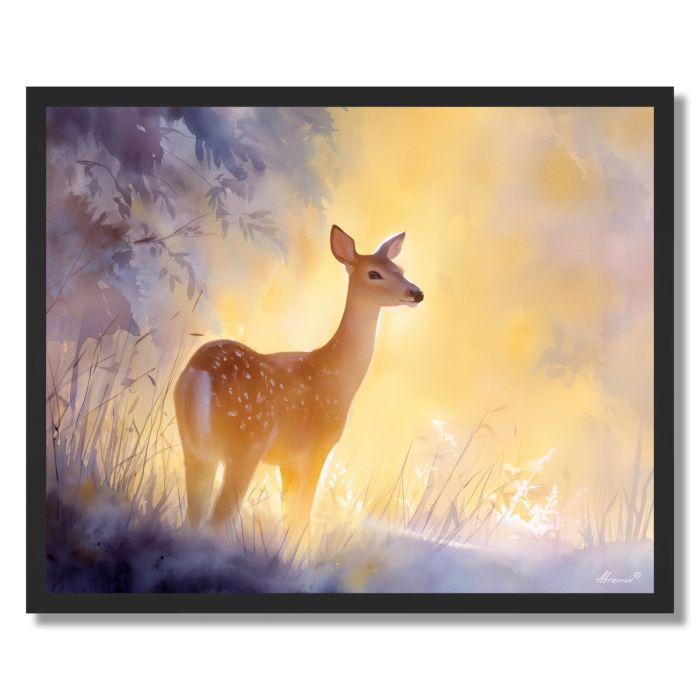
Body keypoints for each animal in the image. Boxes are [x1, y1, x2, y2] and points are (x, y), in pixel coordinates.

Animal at [173, 225, 423, 541]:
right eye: (374, 273)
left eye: (400, 268)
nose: (416, 293)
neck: (335, 376)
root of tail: (198, 373)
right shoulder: (316, 448)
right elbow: (302, 519)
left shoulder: (288, 460)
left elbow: (290, 519)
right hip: (245, 443)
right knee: (216, 522)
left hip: (195, 447)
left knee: (193, 519)